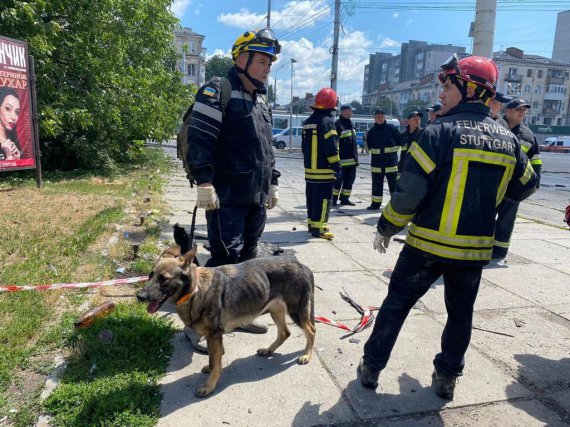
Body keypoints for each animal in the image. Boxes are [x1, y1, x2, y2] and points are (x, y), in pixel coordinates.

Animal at [136, 246, 318, 400]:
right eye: (150, 275)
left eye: (163, 279)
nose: (139, 296)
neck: (195, 290)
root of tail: (302, 265)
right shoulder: (212, 337)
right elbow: (213, 358)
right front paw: (210, 369)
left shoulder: (214, 335)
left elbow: (216, 363)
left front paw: (209, 386)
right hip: (276, 311)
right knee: (285, 332)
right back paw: (268, 350)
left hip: (296, 312)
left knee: (311, 331)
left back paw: (306, 355)